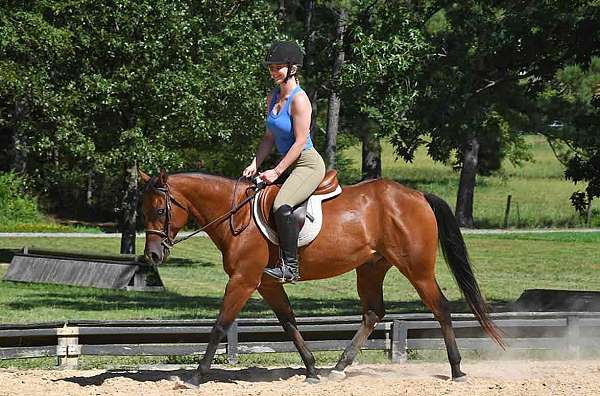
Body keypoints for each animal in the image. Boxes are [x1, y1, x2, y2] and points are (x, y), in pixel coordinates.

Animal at [139, 170, 502, 386]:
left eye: (159, 210)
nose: (153, 256)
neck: (236, 216)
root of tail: (416, 195)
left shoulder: (243, 280)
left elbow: (220, 325)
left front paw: (196, 376)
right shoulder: (268, 284)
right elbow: (289, 324)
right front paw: (312, 370)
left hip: (417, 268)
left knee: (440, 308)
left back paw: (456, 370)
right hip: (371, 268)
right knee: (373, 313)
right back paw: (339, 367)